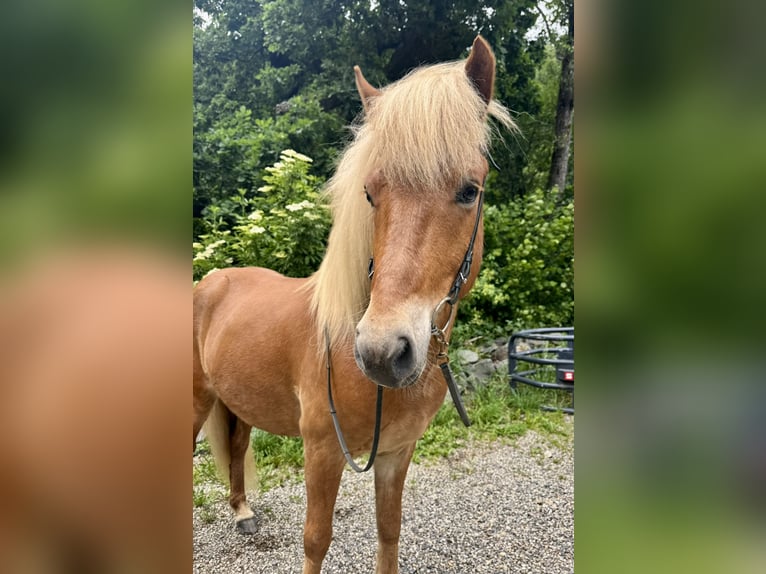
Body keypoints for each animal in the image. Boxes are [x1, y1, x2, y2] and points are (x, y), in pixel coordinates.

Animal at [193, 35, 515, 574]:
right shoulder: (323, 451)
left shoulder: (395, 454)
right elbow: (316, 540)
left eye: (470, 191)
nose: (382, 352)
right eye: (370, 193)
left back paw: (242, 512)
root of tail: (211, 280)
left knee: (236, 448)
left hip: (234, 403)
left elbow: (388, 533)